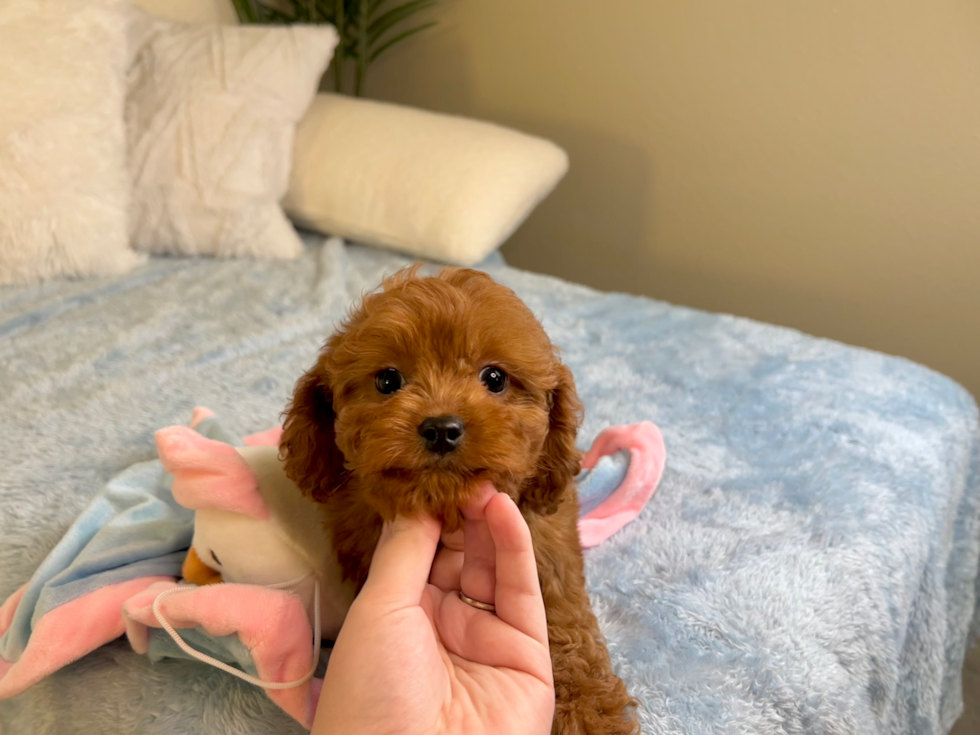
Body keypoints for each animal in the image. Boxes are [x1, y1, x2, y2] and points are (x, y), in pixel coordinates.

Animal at [280, 266, 640, 735]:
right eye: (387, 381)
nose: (441, 428)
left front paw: (590, 711)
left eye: (495, 378)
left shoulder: (549, 546)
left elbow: (565, 619)